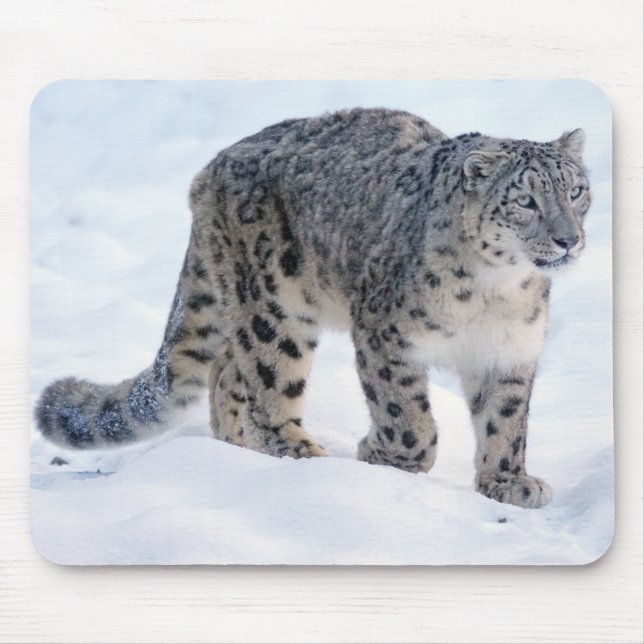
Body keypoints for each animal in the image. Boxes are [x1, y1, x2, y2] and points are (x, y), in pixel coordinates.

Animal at [35, 107, 591, 508]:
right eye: (525, 201)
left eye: (577, 190)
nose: (569, 239)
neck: (496, 290)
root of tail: (210, 170)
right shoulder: (386, 337)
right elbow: (408, 417)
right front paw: (383, 456)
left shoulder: (509, 352)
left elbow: (506, 422)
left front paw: (508, 483)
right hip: (275, 308)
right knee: (266, 386)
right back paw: (302, 456)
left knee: (227, 371)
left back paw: (235, 447)